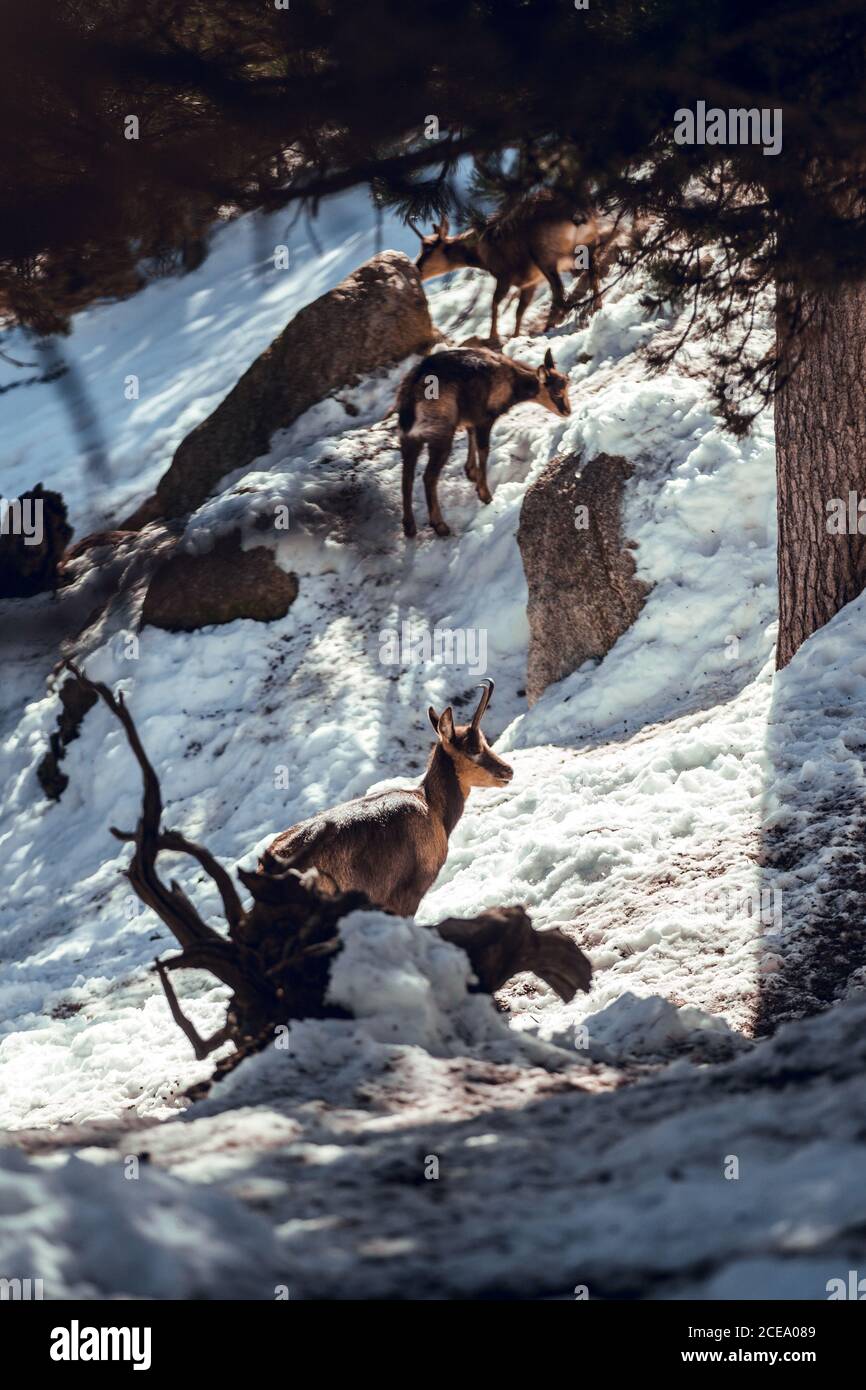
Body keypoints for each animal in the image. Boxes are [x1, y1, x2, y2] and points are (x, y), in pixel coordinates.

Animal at [396, 345, 570, 537]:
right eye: (556, 392)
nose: (567, 411)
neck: (513, 382)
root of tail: (412, 394)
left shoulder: (471, 417)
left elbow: (471, 437)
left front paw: (471, 471)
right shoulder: (485, 419)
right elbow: (484, 450)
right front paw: (485, 494)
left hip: (409, 438)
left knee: (407, 477)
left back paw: (409, 527)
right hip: (440, 433)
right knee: (428, 476)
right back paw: (440, 525)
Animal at [410, 195, 621, 343]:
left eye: (428, 247)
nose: (417, 269)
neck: (481, 249)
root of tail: (576, 216)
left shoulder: (505, 275)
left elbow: (495, 303)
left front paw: (493, 336)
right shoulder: (530, 283)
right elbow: (520, 310)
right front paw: (515, 335)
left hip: (546, 258)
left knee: (558, 292)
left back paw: (548, 327)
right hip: (586, 248)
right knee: (592, 274)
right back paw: (596, 307)